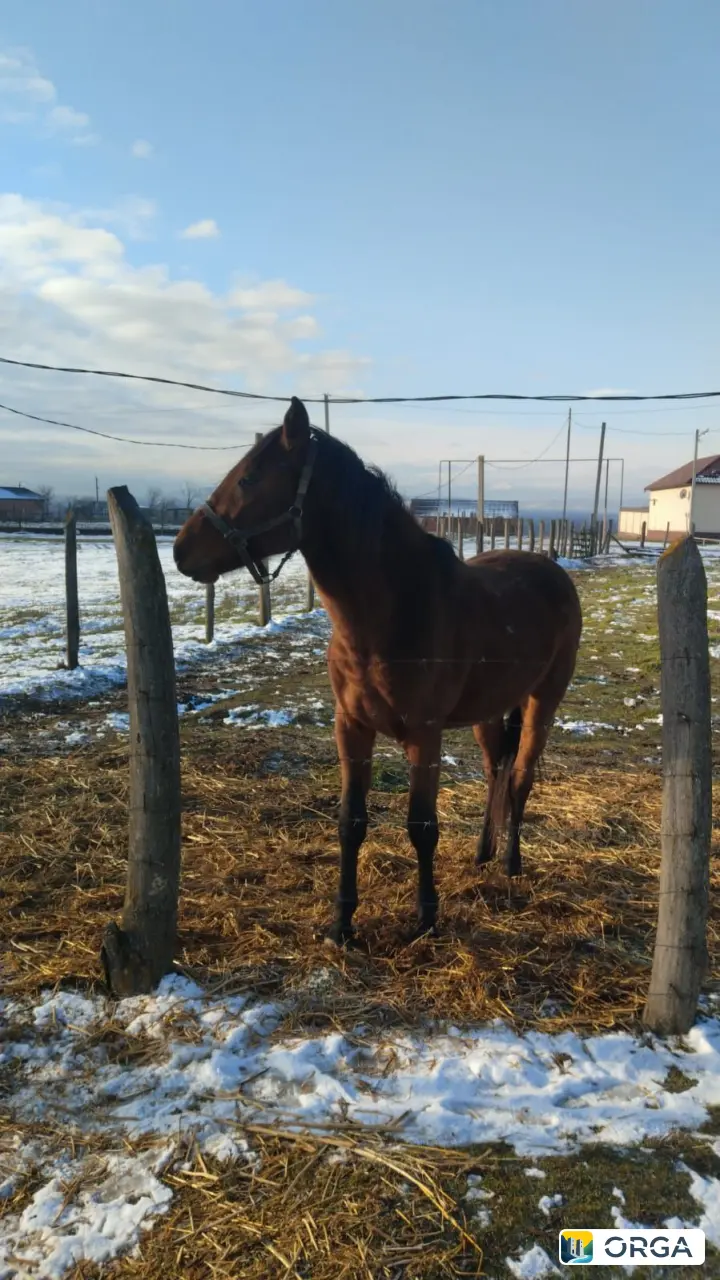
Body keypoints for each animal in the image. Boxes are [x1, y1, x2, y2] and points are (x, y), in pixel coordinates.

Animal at [174, 397, 582, 944]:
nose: (180, 550)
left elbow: (422, 826)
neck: (391, 612)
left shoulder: (424, 735)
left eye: (249, 477)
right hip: (487, 713)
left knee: (520, 777)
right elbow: (351, 821)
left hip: (544, 701)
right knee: (496, 768)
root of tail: (553, 570)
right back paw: (483, 854)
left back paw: (510, 864)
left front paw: (426, 917)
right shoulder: (351, 728)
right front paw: (341, 922)